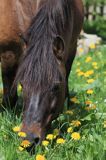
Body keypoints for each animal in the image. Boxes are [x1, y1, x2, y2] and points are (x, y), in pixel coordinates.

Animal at [0, 0, 84, 149]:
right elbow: (10, 98)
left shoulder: (72, 47)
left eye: (56, 87)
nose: (29, 139)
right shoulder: (8, 55)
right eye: (23, 84)